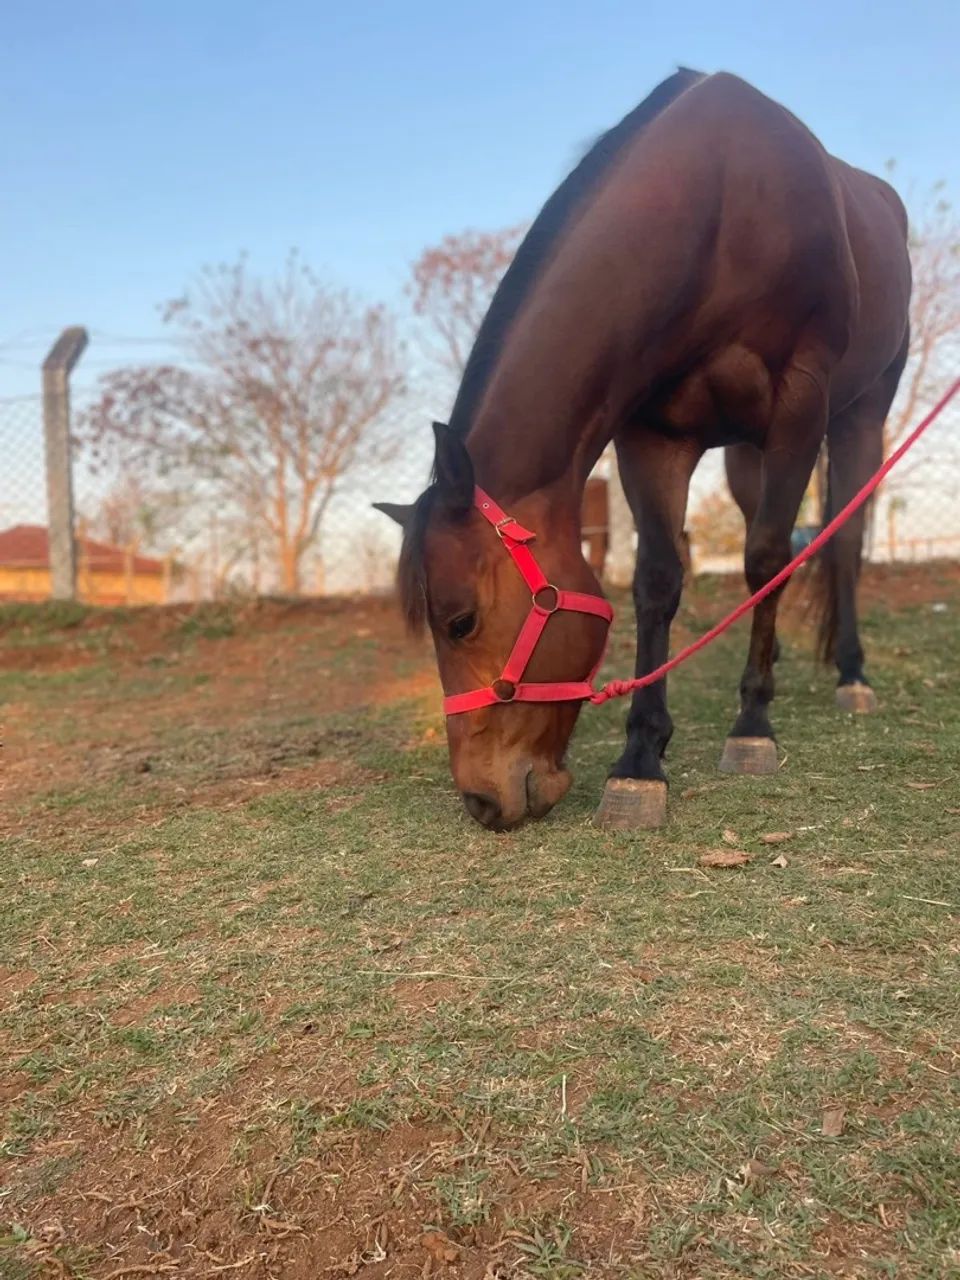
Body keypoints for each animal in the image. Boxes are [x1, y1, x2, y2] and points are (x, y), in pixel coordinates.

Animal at [375, 68, 911, 832]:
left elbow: (767, 558)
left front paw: (752, 726)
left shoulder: (799, 405)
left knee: (839, 541)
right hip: (747, 453)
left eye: (461, 621)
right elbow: (659, 578)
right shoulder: (652, 434)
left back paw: (851, 673)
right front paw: (640, 757)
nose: (481, 799)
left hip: (860, 416)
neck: (721, 205)